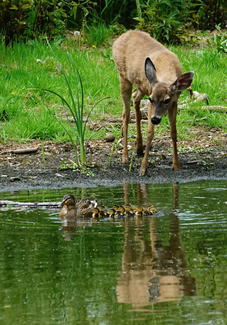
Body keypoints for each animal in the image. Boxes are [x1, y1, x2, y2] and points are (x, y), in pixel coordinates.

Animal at [111, 30, 193, 175]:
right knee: (126, 113)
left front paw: (176, 165)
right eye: (151, 99)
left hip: (141, 86)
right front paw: (143, 168)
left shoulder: (174, 102)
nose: (155, 119)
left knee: (135, 98)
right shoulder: (150, 98)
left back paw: (139, 147)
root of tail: (120, 37)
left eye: (167, 100)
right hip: (123, 76)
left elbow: (173, 132)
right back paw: (125, 156)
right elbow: (150, 133)